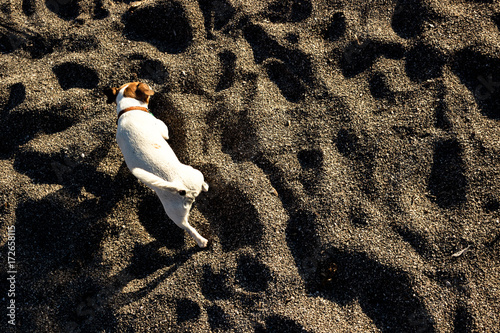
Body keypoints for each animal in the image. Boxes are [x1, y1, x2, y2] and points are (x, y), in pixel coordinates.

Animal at [104, 80, 209, 246]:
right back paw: (201, 241)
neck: (128, 110)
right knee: (188, 227)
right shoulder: (162, 129)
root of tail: (179, 186)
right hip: (176, 206)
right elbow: (165, 131)